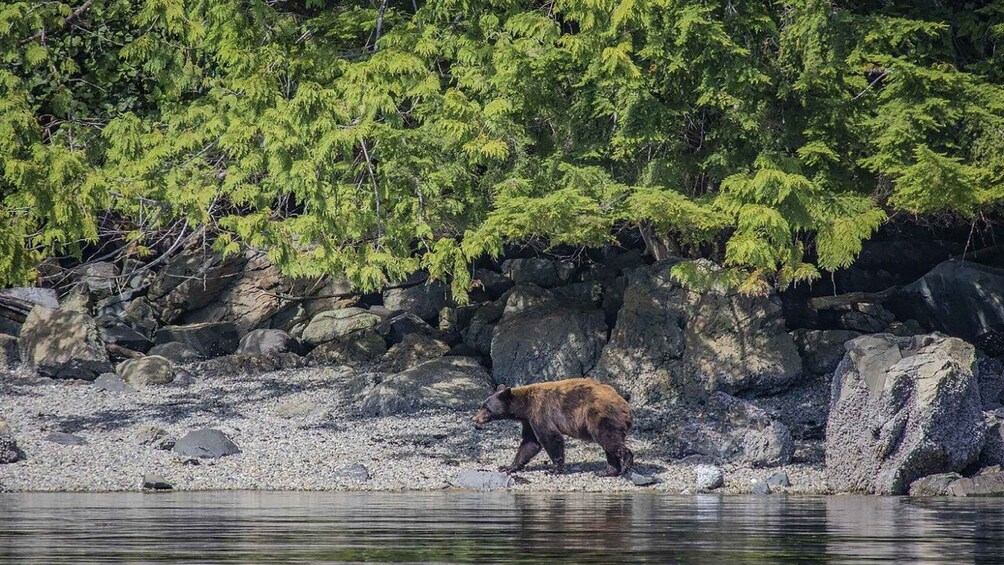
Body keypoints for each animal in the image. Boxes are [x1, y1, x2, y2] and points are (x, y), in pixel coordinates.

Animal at [472, 378, 634, 477]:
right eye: (482, 405)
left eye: (486, 408)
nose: (475, 418)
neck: (524, 406)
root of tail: (626, 405)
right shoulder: (529, 420)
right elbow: (530, 443)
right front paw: (508, 467)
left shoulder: (540, 411)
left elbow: (550, 437)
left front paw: (553, 469)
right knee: (608, 445)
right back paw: (609, 471)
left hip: (601, 416)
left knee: (608, 440)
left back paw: (626, 462)